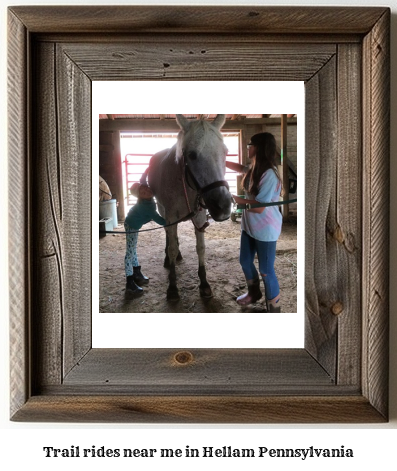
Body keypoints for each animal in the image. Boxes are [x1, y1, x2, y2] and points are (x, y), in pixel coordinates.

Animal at [147, 114, 230, 298]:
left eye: (225, 152)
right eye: (191, 155)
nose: (222, 206)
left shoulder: (199, 217)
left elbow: (201, 248)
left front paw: (204, 283)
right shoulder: (170, 215)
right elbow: (171, 246)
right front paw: (172, 286)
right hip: (163, 211)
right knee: (168, 234)